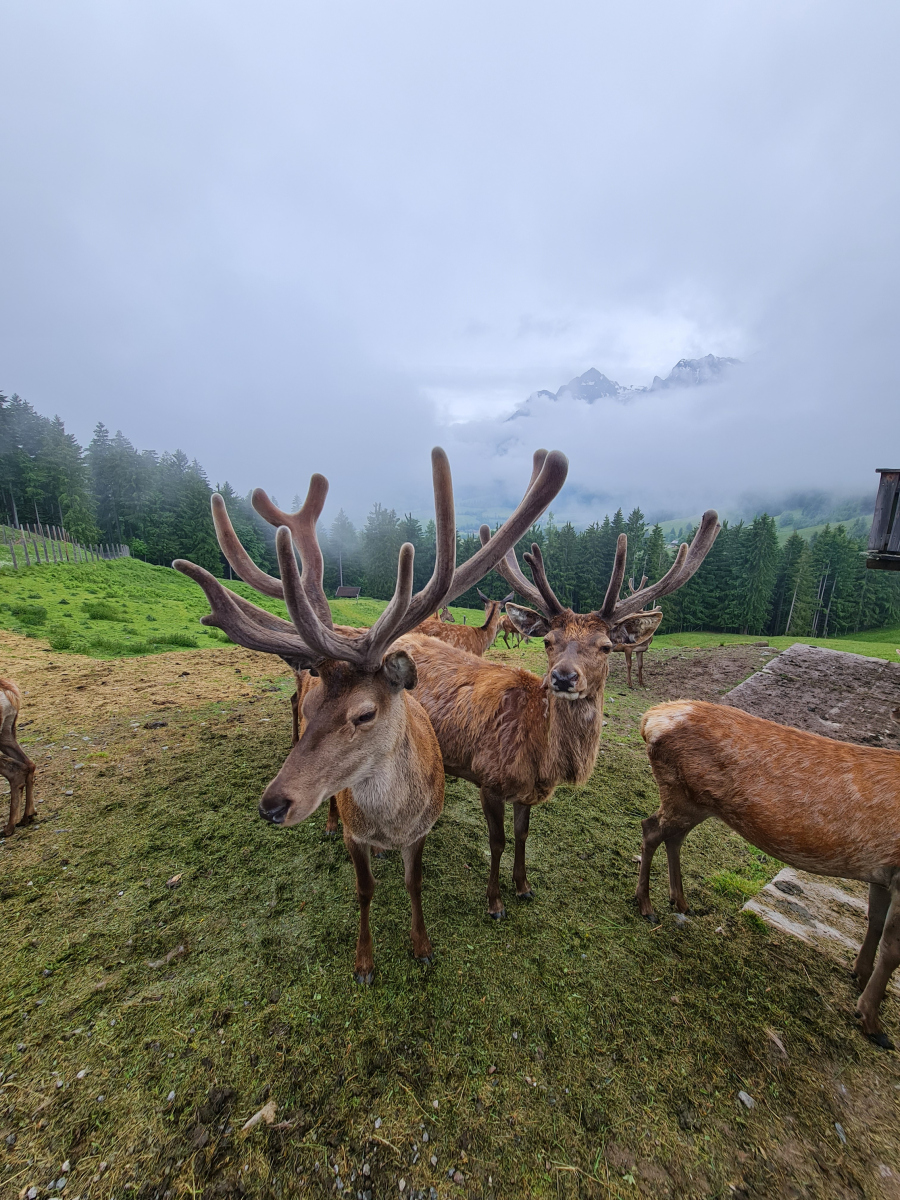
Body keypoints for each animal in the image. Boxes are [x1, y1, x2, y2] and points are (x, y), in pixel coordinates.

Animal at [177, 446, 571, 979]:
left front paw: (422, 946)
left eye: (364, 714)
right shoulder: (355, 835)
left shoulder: (420, 831)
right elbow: (363, 889)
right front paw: (364, 961)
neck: (390, 822)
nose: (272, 805)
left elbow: (414, 883)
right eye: (314, 704)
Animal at [398, 451, 724, 916]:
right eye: (549, 641)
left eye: (606, 646)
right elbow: (497, 840)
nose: (564, 677)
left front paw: (523, 886)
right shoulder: (489, 778)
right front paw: (495, 901)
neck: (541, 761)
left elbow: (522, 836)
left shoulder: (526, 793)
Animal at [633, 700, 900, 1046]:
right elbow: (892, 949)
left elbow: (875, 922)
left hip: (694, 801)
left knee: (672, 837)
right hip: (681, 795)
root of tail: (651, 718)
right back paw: (645, 904)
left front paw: (859, 975)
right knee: (651, 829)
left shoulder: (880, 872)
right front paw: (872, 1022)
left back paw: (680, 901)